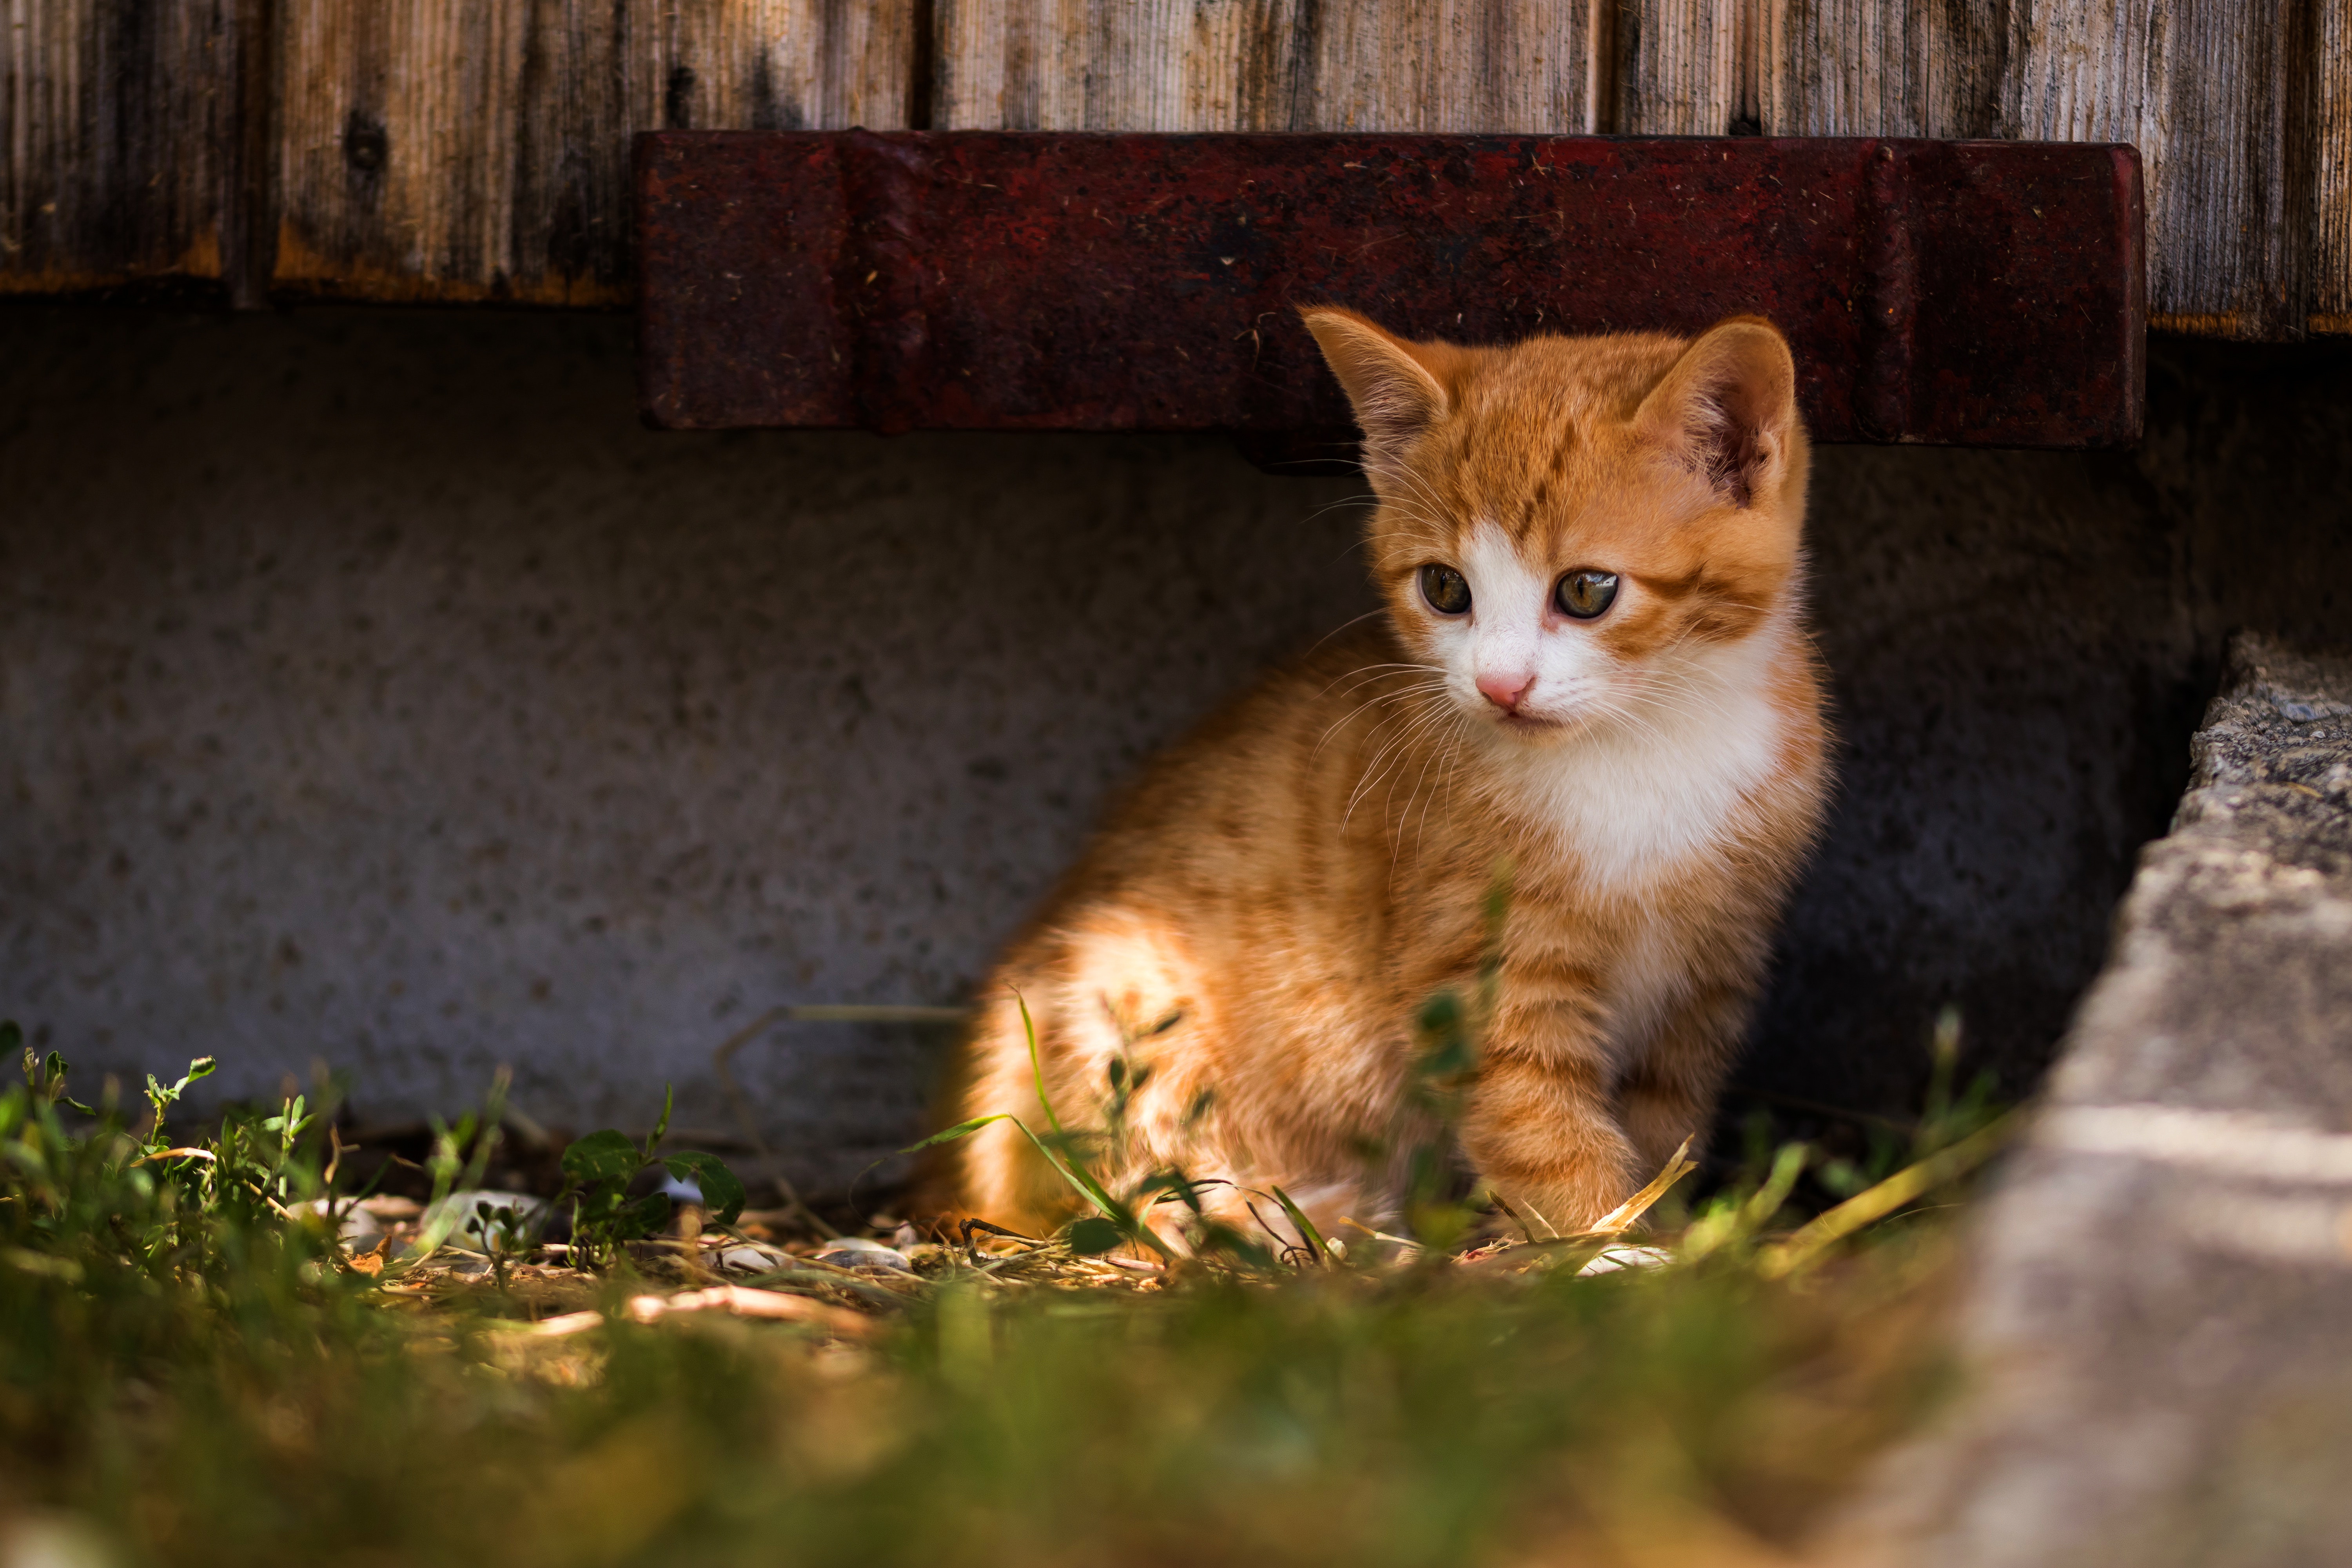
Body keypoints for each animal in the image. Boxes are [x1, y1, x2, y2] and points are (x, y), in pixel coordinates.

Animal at [936, 310, 1835, 1250]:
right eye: (1445, 588)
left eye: (1588, 590)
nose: (1500, 686)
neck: (1640, 745)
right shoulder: (1481, 967)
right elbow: (1539, 1126)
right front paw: (1602, 1244)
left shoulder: (1714, 964)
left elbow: (1669, 1120)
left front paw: (1672, 1234)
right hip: (1129, 1005)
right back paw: (1282, 1214)